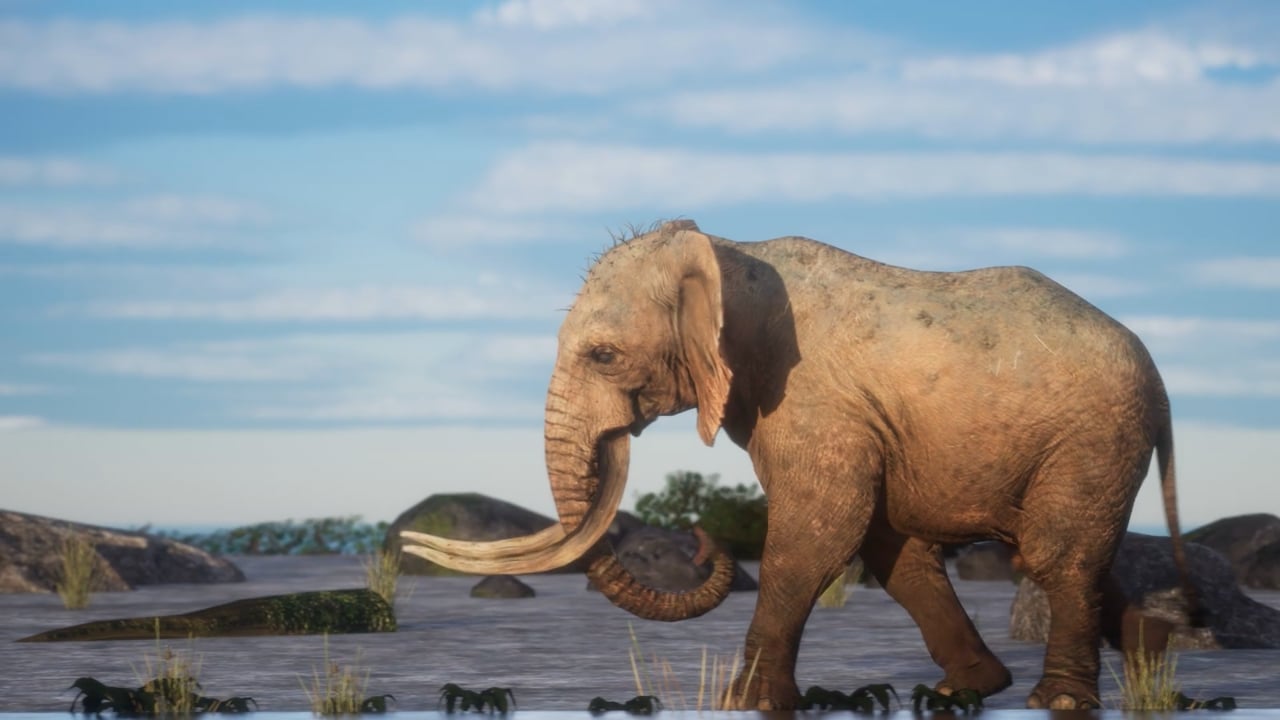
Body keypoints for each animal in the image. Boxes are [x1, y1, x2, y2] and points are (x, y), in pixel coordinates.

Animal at [402, 219, 1200, 710]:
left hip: (1093, 434)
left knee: (1057, 552)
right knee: (1073, 555)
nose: (703, 540)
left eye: (602, 355)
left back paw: (1059, 698)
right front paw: (967, 688)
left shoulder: (813, 398)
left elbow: (820, 532)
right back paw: (1144, 664)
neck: (726, 253)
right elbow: (886, 544)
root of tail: (1159, 381)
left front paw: (740, 702)